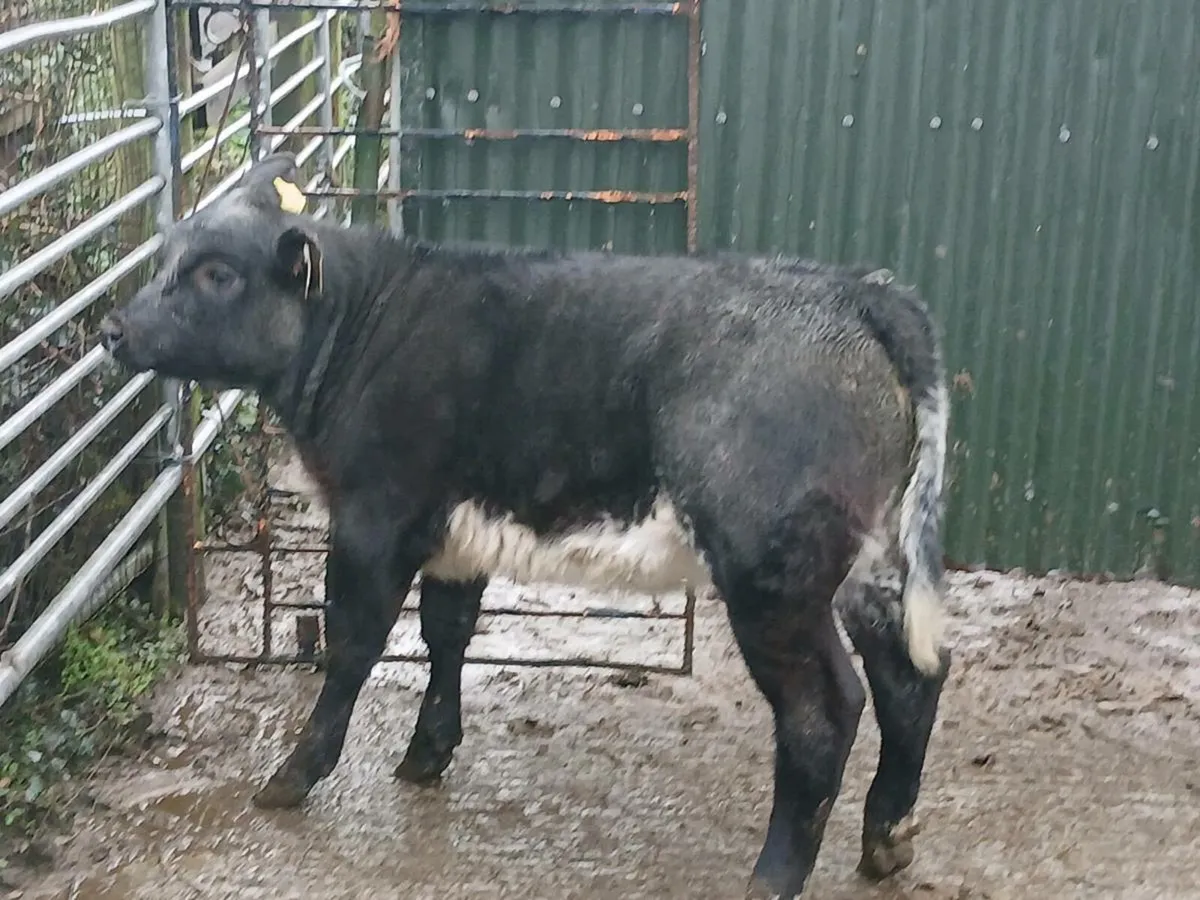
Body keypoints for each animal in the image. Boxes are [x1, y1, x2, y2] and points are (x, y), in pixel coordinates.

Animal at [101, 152, 951, 899]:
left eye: (217, 274)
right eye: (168, 258)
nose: (113, 329)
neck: (363, 325)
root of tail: (856, 293)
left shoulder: (375, 516)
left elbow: (353, 645)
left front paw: (294, 775)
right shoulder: (455, 531)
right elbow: (447, 633)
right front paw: (427, 752)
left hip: (772, 578)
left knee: (823, 712)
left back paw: (775, 876)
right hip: (866, 561)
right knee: (912, 674)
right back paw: (886, 839)